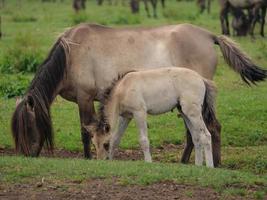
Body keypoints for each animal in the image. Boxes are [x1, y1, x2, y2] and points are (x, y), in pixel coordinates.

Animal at [85, 67, 219, 167]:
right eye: (94, 144)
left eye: (105, 144)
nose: (101, 161)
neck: (123, 88)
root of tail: (201, 79)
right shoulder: (126, 117)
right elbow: (116, 138)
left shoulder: (139, 113)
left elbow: (143, 140)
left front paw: (148, 162)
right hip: (185, 113)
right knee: (196, 137)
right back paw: (198, 166)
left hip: (193, 113)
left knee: (206, 136)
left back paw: (209, 167)